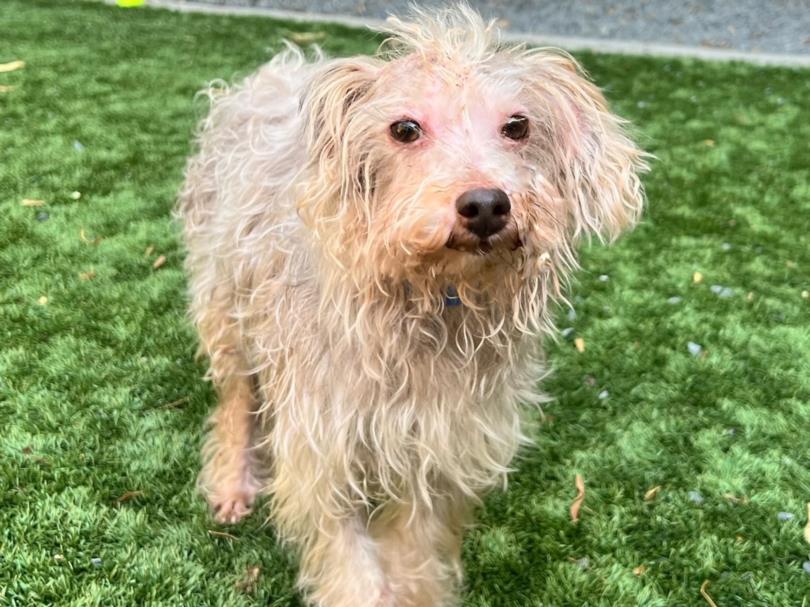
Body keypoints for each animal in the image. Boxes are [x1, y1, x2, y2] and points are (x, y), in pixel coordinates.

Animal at [177, 5, 644, 607]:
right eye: (404, 128)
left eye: (518, 126)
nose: (486, 204)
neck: (433, 300)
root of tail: (278, 69)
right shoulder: (322, 447)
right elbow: (349, 566)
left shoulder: (440, 446)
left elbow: (415, 551)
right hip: (225, 299)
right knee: (236, 397)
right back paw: (233, 481)